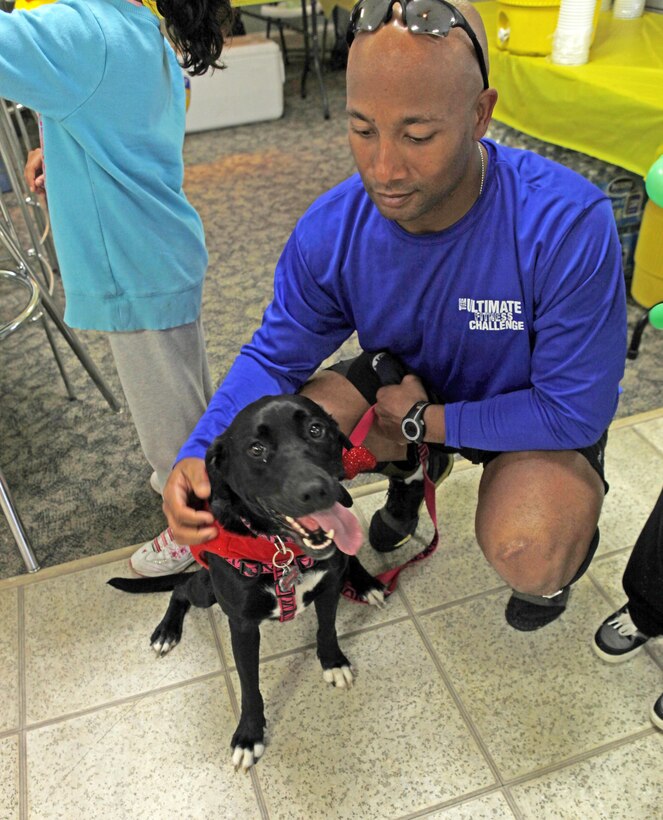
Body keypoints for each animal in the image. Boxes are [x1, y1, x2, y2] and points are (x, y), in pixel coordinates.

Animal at [110, 394, 384, 772]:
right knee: (181, 588)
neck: (281, 552)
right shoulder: (241, 625)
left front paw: (332, 662)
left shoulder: (328, 587)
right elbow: (248, 684)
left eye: (316, 429)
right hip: (207, 589)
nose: (316, 490)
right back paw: (167, 631)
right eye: (256, 449)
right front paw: (249, 734)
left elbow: (326, 629)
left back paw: (364, 581)